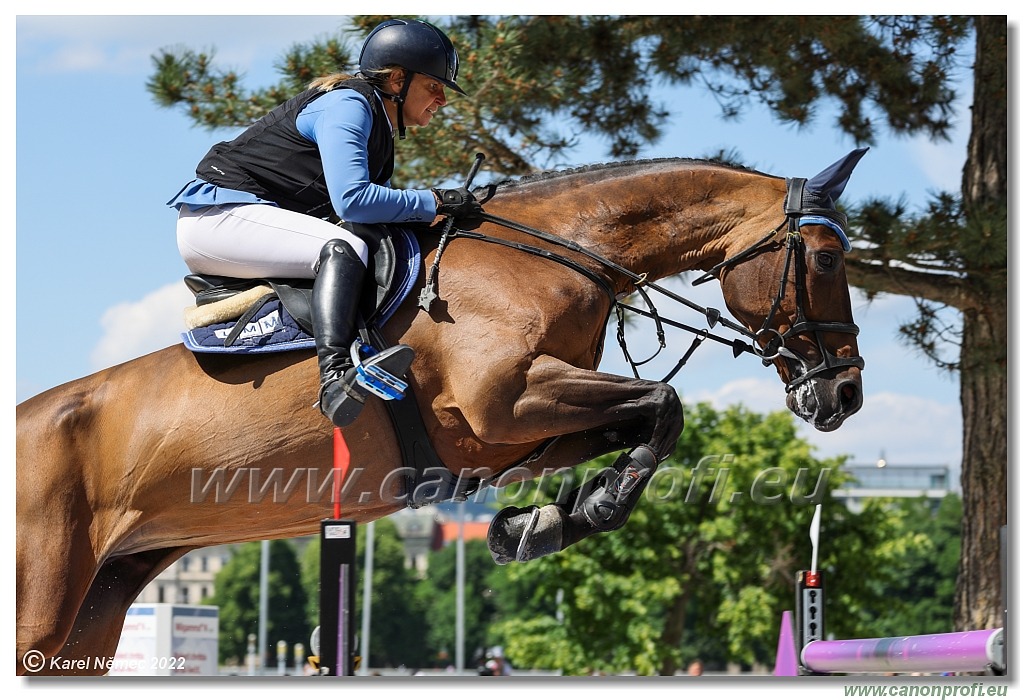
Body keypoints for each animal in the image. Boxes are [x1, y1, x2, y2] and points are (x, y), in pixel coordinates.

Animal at [14, 147, 864, 671]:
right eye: (826, 259)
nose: (846, 393)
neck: (556, 254)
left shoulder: (508, 436)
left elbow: (645, 419)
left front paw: (540, 524)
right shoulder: (507, 403)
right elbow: (665, 401)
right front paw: (570, 515)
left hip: (99, 604)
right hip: (43, 598)